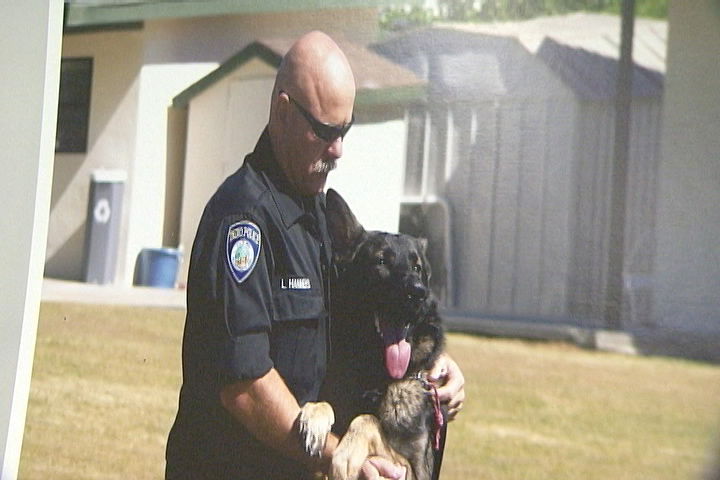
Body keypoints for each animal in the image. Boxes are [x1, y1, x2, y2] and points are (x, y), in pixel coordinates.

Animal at [298, 189, 446, 480]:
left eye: (417, 268)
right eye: (381, 261)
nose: (418, 292)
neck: (375, 378)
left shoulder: (413, 470)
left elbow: (368, 419)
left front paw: (345, 456)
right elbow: (328, 404)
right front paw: (315, 415)